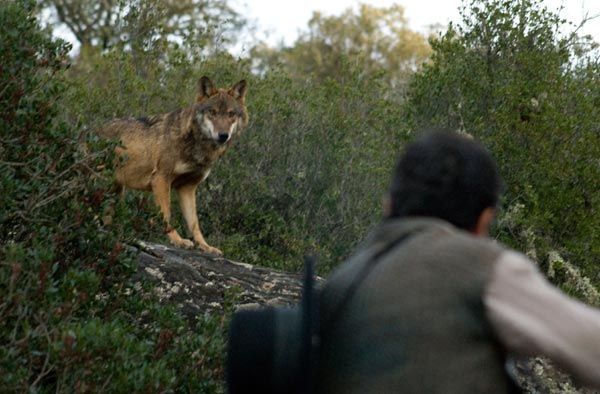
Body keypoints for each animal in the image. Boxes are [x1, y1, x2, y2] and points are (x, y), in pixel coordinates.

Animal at [98, 76, 248, 255]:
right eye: (213, 112)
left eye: (231, 114)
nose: (223, 135)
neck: (195, 145)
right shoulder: (161, 179)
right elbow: (167, 215)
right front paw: (177, 240)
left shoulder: (188, 188)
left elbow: (194, 224)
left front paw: (205, 246)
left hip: (115, 192)